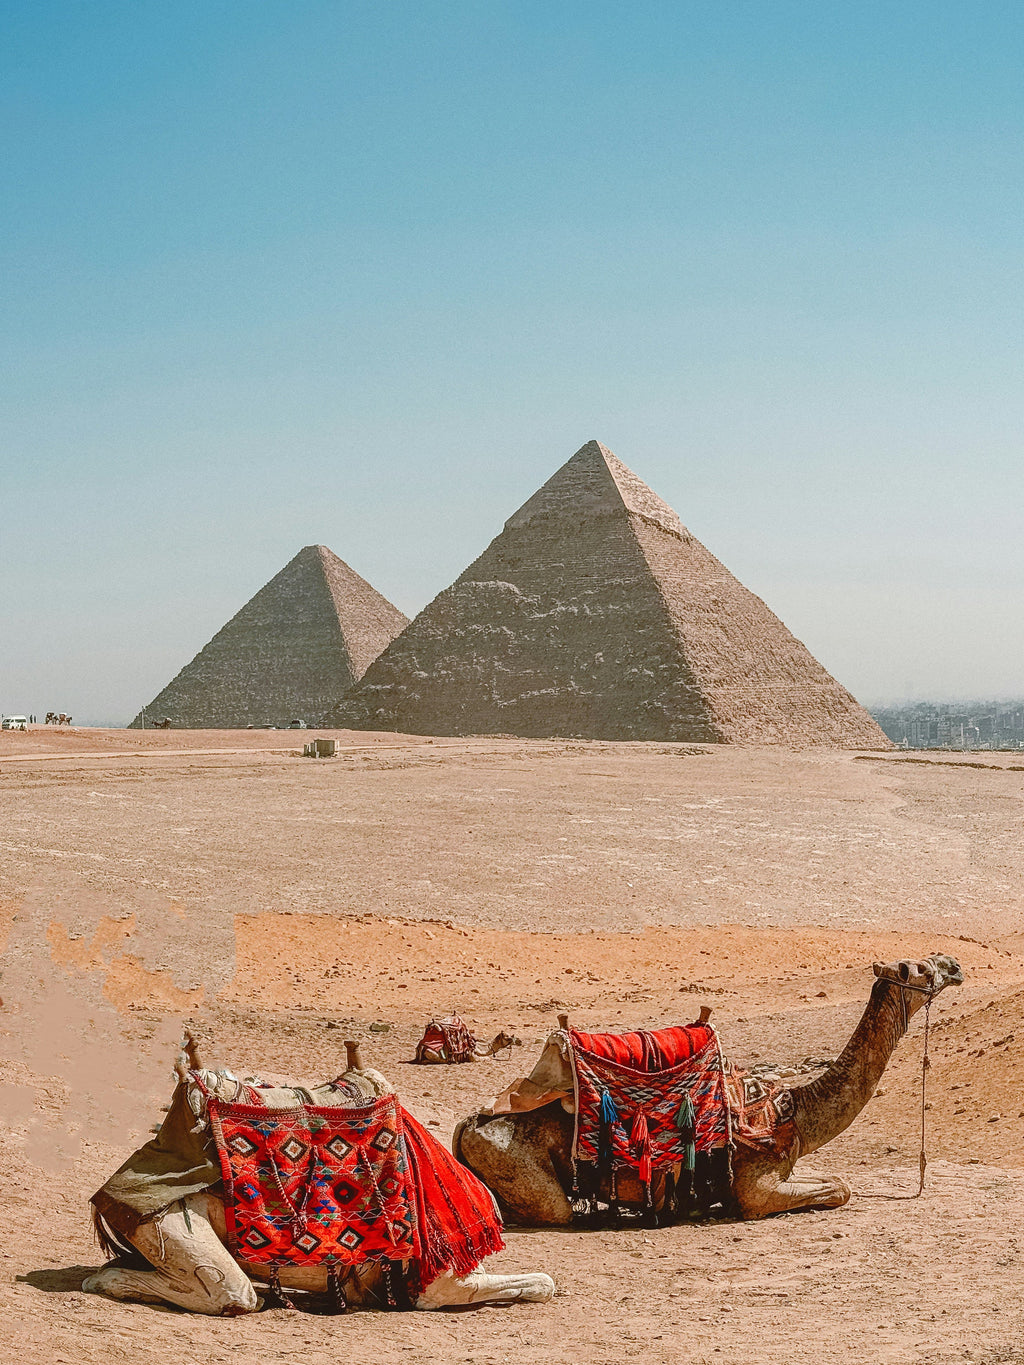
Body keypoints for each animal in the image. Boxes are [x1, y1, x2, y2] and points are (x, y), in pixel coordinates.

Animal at [453, 953, 963, 1226]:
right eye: (920, 968)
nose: (954, 965)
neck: (791, 1110)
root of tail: (468, 1124)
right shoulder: (756, 1186)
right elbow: (840, 1187)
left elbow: (837, 1182)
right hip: (517, 1165)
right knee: (551, 1211)